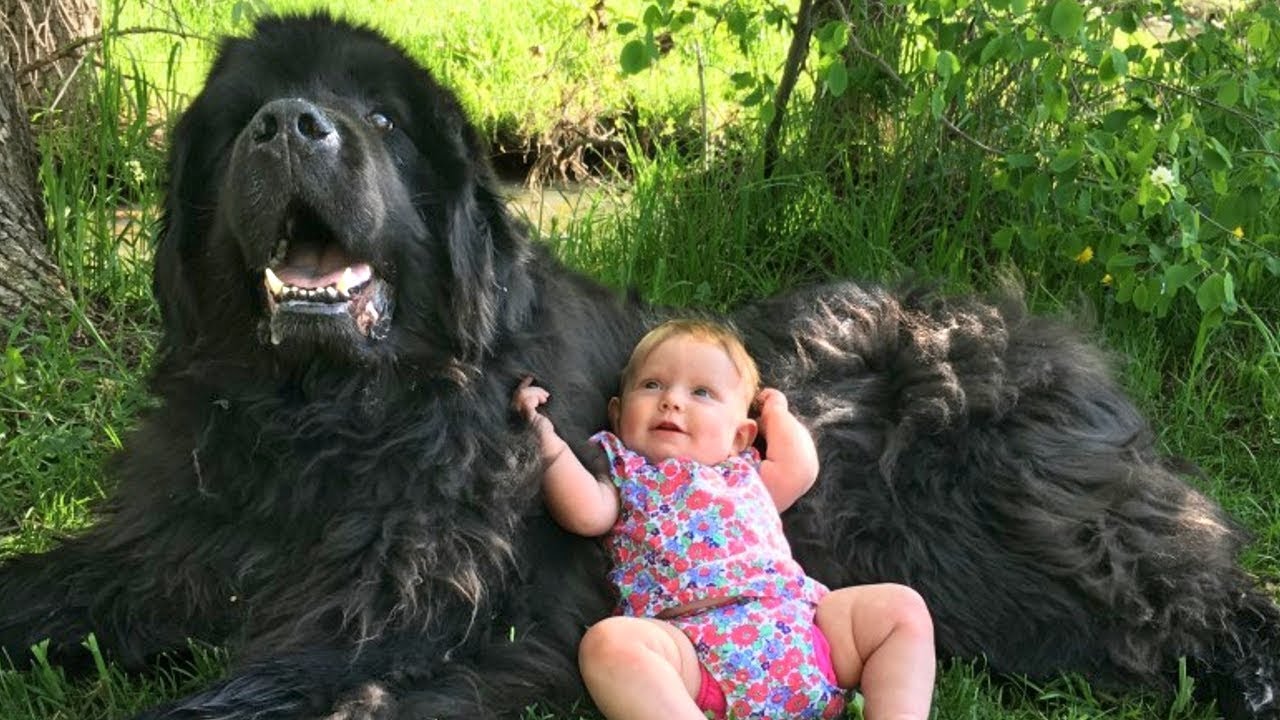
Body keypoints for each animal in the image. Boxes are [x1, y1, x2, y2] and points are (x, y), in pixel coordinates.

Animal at [2, 11, 1280, 717]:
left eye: (379, 120)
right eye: (246, 117)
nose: (291, 127)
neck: (327, 422)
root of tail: (1043, 340)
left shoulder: (406, 613)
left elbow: (265, 688)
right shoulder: (179, 542)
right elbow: (58, 585)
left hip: (1009, 535)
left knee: (1186, 593)